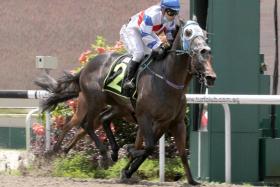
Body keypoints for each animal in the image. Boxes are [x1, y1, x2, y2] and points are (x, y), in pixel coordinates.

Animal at [35, 20, 217, 184]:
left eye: (203, 33)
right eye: (188, 32)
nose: (211, 77)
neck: (168, 79)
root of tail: (86, 67)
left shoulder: (173, 123)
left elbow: (180, 153)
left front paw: (192, 180)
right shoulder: (145, 117)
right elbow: (147, 147)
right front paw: (128, 156)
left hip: (116, 107)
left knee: (98, 121)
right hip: (94, 101)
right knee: (84, 125)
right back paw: (92, 154)